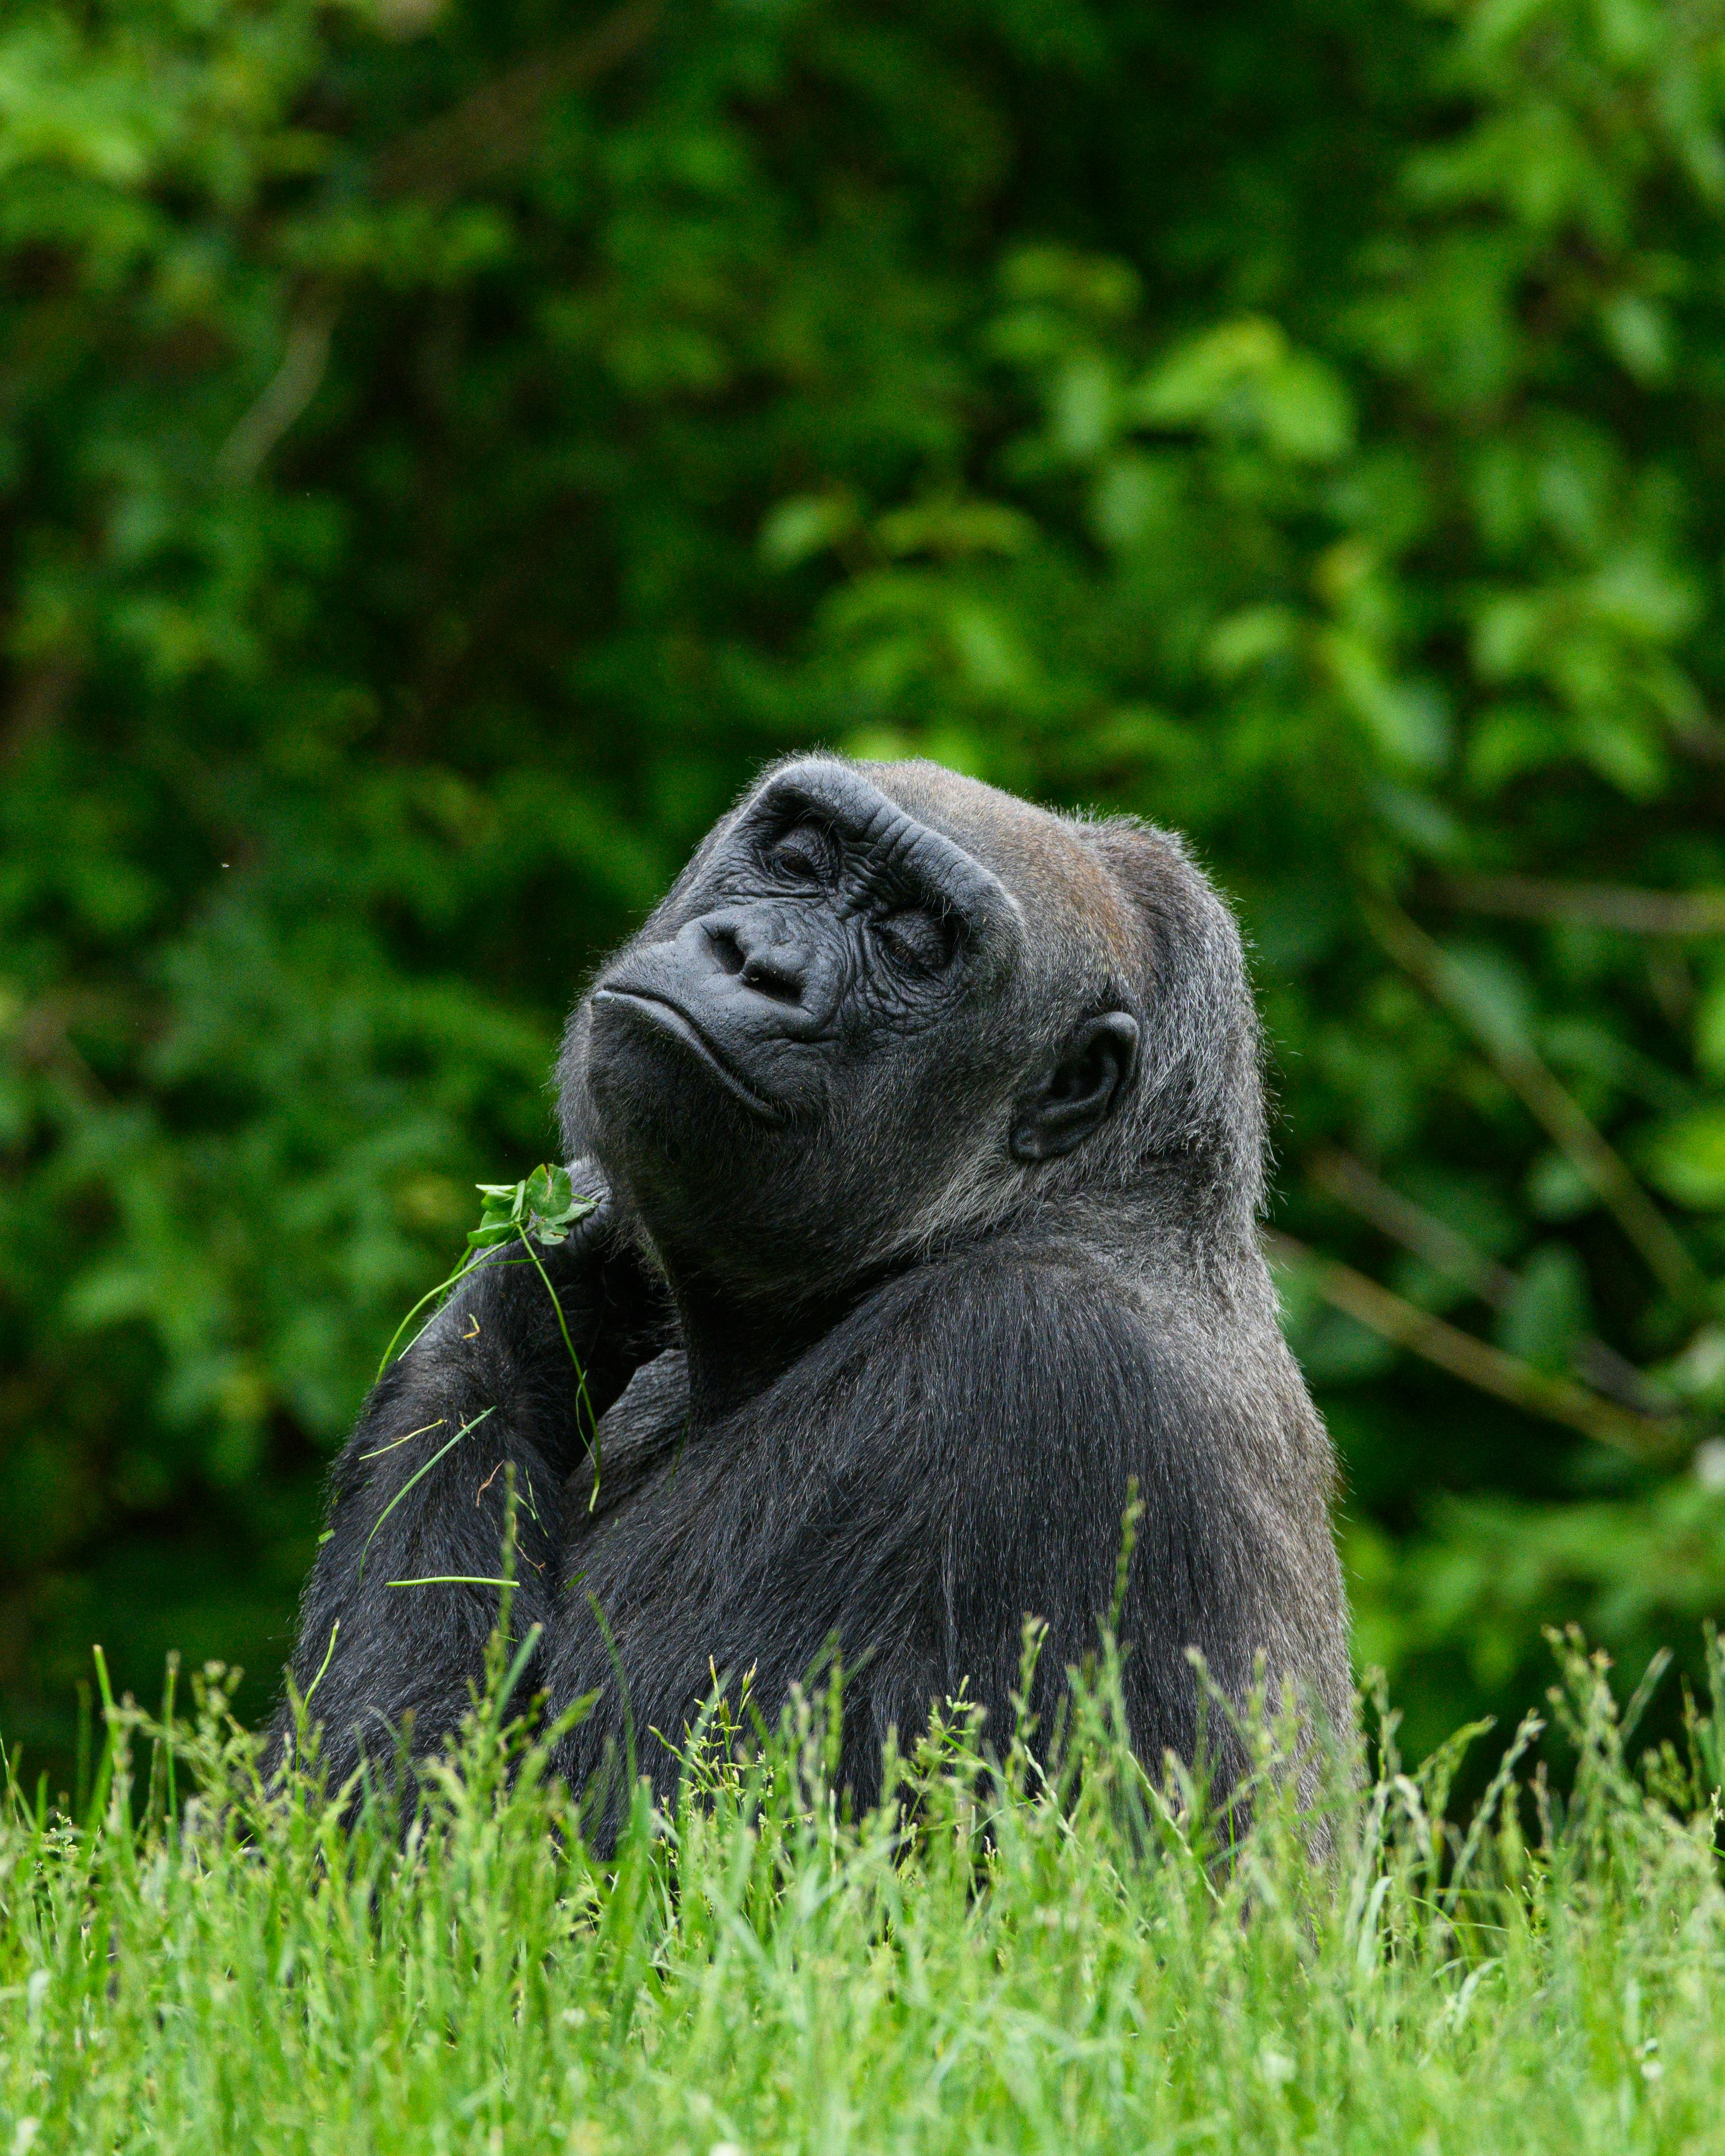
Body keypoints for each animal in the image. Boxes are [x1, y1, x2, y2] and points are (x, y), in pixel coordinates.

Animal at [275, 756, 1352, 1826]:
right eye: (797, 855)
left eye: (914, 944)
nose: (756, 959)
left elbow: (520, 1830)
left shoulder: (1015, 1363)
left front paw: (534, 1284)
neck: (1072, 1193)